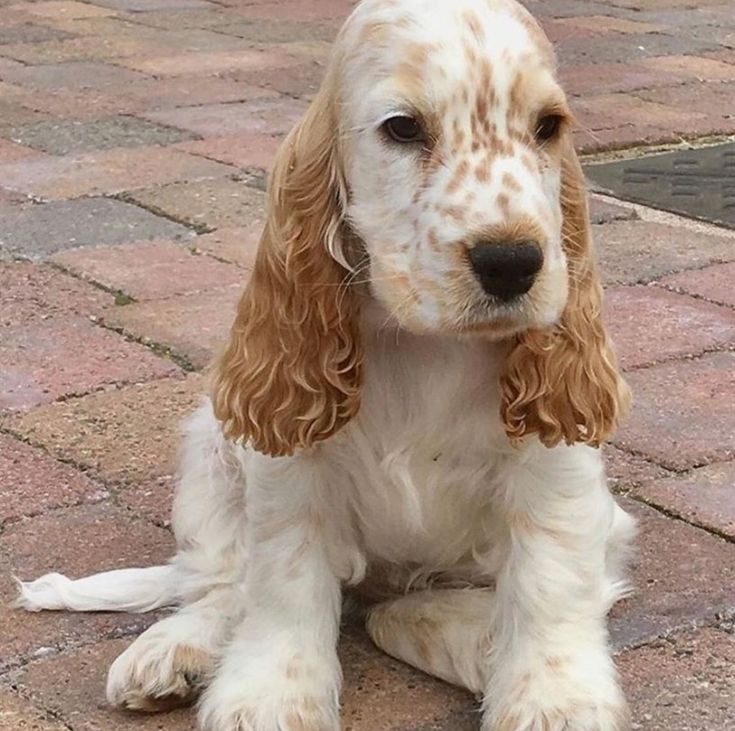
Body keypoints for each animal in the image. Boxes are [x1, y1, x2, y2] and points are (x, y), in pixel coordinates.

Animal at [17, 0, 640, 728]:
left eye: (548, 127)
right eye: (403, 127)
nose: (512, 262)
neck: (421, 342)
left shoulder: (556, 468)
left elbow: (547, 581)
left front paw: (552, 697)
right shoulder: (290, 465)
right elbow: (284, 582)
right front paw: (268, 695)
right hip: (209, 449)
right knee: (220, 580)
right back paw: (175, 650)